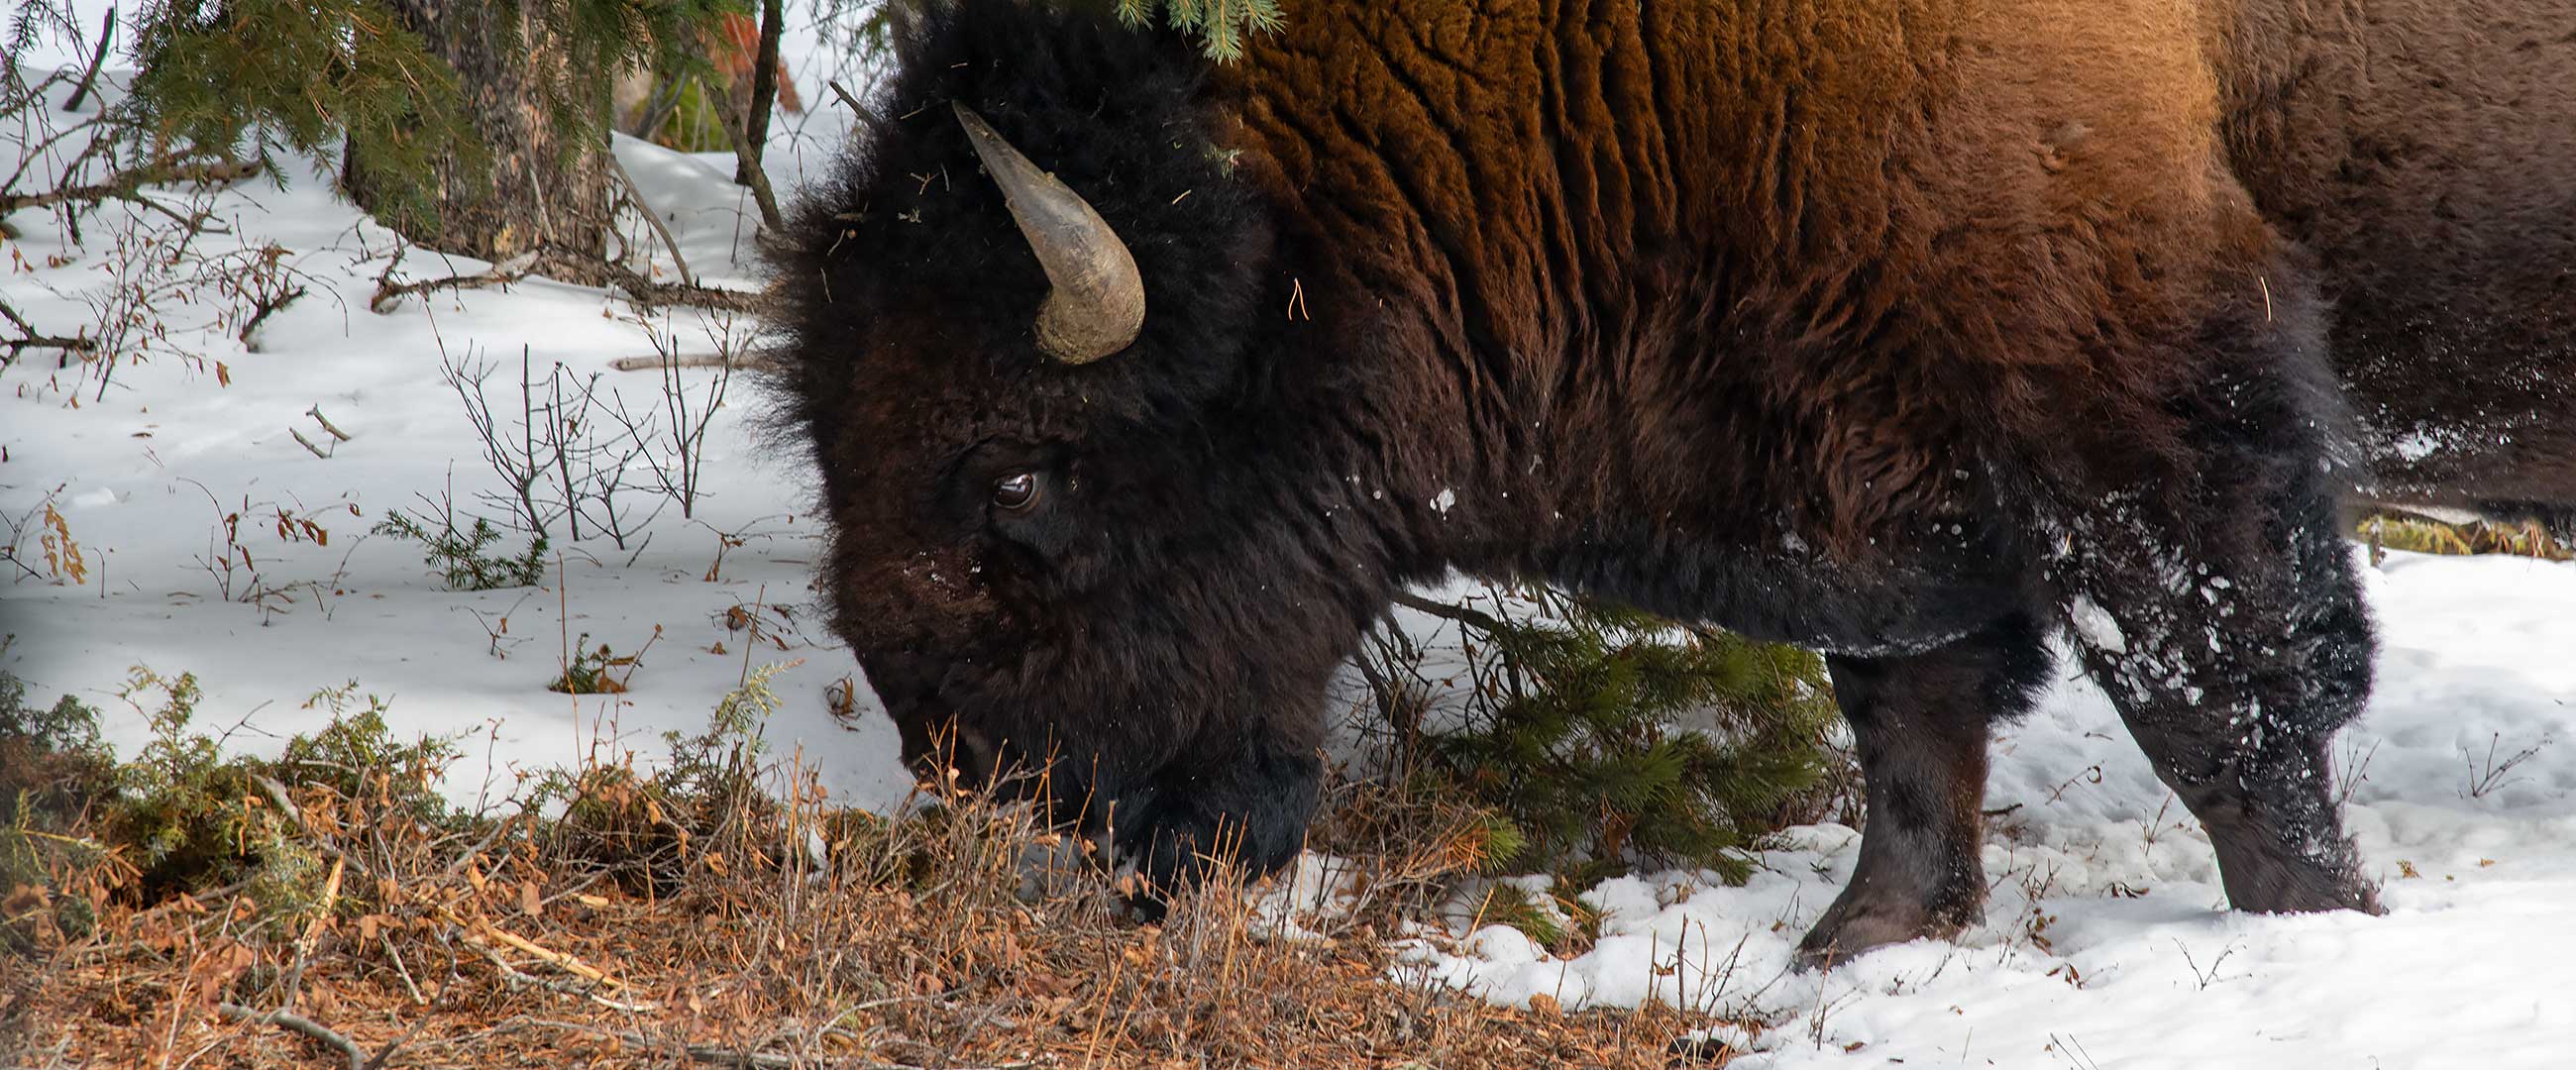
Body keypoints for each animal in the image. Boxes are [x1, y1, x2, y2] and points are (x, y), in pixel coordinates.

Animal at [767, 0, 2576, 969]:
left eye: (1021, 478)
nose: (977, 775)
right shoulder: (1870, 454)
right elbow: (1909, 716)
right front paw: (1866, 941)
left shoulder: (2146, 423)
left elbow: (2230, 706)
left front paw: (2313, 929)